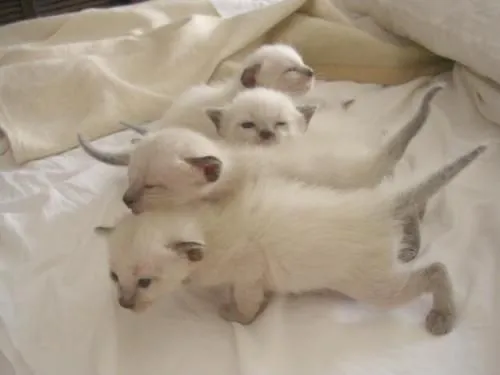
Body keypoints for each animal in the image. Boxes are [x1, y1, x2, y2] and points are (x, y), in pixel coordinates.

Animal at [95, 145, 486, 338]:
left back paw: (442, 316)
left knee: (436, 269)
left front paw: (235, 315)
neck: (205, 222)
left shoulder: (248, 270)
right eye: (114, 278)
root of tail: (380, 205)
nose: (124, 304)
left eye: (145, 282)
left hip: (373, 287)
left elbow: (247, 305)